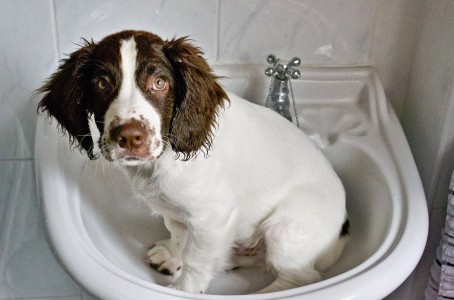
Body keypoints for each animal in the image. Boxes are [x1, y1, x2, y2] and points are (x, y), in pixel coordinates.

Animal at [37, 29, 350, 292]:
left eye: (159, 82)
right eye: (102, 84)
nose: (130, 138)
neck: (163, 160)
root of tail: (343, 227)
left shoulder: (213, 216)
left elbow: (196, 261)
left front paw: (184, 287)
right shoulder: (178, 211)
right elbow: (178, 233)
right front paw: (172, 255)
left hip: (286, 230)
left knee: (300, 277)